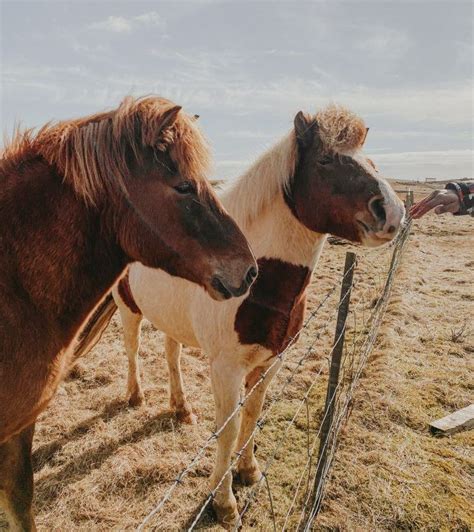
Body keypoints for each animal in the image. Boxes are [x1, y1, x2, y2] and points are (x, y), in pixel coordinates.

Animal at [114, 105, 404, 528]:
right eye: (325, 159)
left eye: (369, 159)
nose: (392, 212)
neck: (258, 280)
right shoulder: (226, 369)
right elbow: (229, 428)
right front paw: (223, 502)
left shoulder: (271, 360)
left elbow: (253, 413)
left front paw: (248, 471)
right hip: (127, 308)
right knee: (133, 349)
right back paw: (136, 395)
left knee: (171, 356)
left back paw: (181, 407)